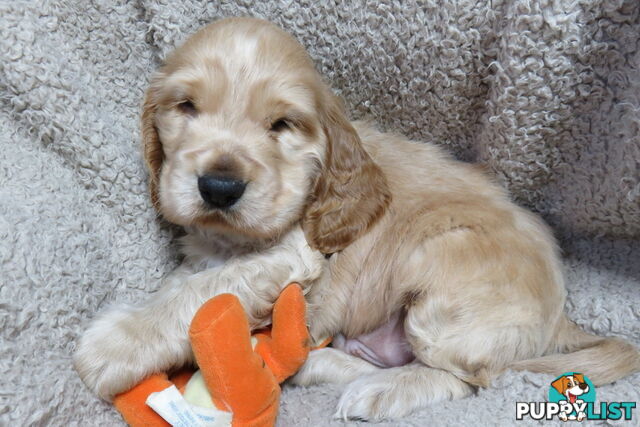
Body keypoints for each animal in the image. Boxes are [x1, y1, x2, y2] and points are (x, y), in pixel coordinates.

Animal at [76, 17, 640, 422]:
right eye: (186, 107)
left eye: (281, 125)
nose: (219, 187)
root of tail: (559, 315)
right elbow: (187, 280)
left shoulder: (293, 254)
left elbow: (203, 293)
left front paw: (115, 343)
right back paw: (315, 363)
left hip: (441, 267)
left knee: (474, 378)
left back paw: (377, 390)